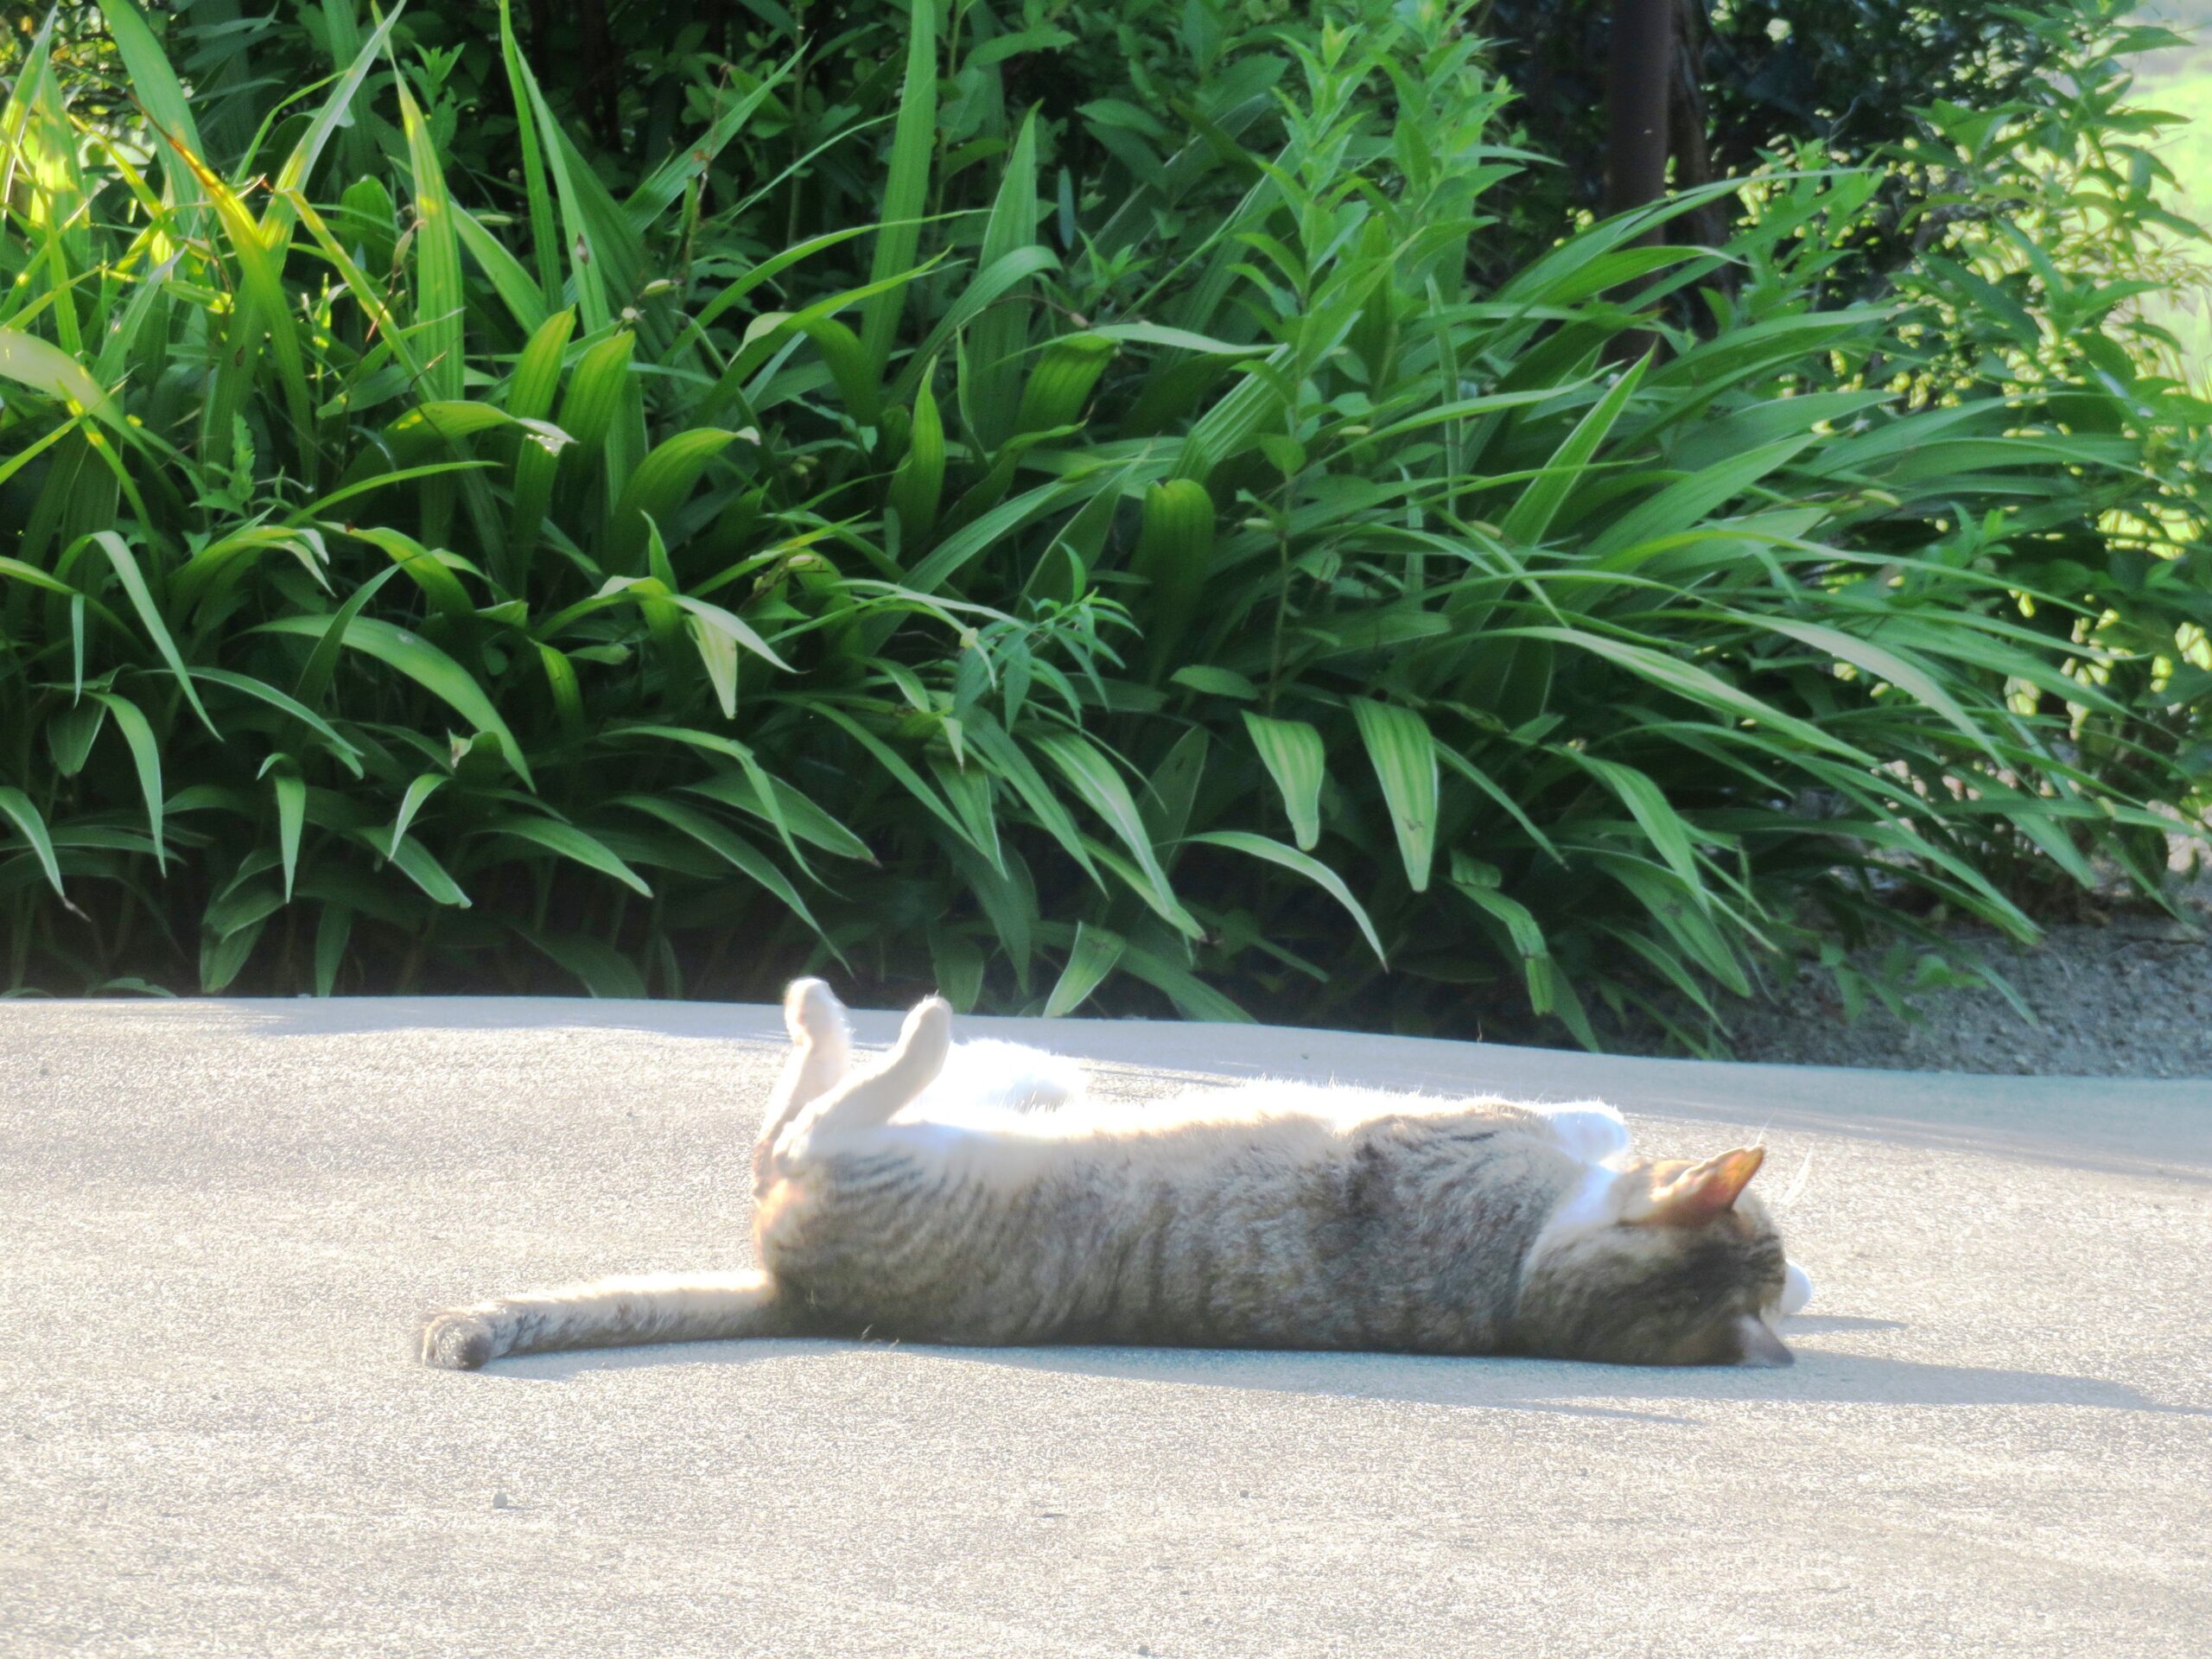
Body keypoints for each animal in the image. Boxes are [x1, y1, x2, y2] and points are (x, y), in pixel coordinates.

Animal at [417, 986, 1814, 1380]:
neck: (1526, 1289)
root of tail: (796, 1294)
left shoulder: (1464, 1131)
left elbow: (1572, 1113)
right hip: (981, 1106)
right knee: (795, 1121)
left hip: (881, 1159)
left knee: (796, 1129)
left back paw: (877, 1021)